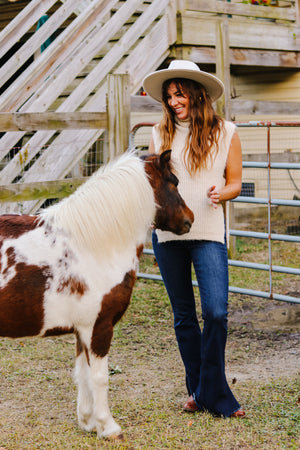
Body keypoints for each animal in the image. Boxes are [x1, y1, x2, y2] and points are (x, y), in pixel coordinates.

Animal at [0, 149, 193, 438]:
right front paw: (108, 426)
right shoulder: (99, 327)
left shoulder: (82, 330)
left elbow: (83, 374)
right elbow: (100, 377)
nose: (189, 220)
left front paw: (88, 421)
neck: (93, 244)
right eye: (174, 182)